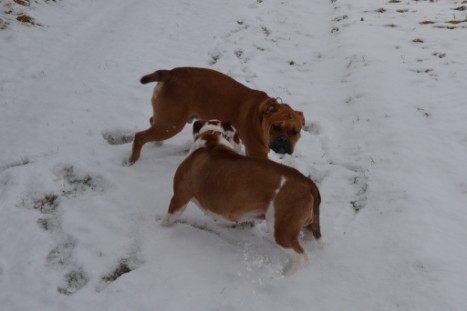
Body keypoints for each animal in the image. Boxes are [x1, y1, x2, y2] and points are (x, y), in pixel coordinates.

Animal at [131, 67, 308, 165]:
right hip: (171, 124)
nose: (284, 141)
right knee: (140, 136)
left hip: (166, 119)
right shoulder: (258, 153)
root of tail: (170, 73)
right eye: (276, 127)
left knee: (152, 121)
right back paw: (133, 160)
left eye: (295, 132)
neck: (260, 115)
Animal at [161, 120, 322, 276]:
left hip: (282, 231)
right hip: (304, 225)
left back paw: (285, 275)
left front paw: (160, 228)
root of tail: (307, 182)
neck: (212, 138)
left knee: (301, 257)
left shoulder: (179, 198)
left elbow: (167, 219)